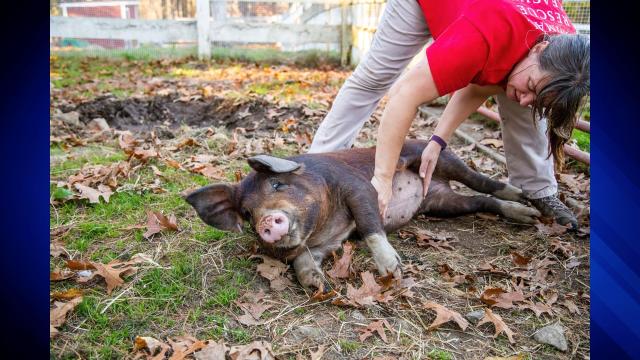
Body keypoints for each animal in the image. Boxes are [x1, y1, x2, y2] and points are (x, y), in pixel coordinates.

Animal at [184, 139, 540, 292]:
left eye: (276, 183)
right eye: (247, 212)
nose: (267, 221)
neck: (323, 226)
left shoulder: (359, 188)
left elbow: (370, 224)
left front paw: (392, 270)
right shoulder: (323, 244)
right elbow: (302, 260)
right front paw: (318, 284)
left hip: (440, 158)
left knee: (482, 182)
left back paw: (526, 204)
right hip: (443, 203)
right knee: (480, 200)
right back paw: (525, 214)